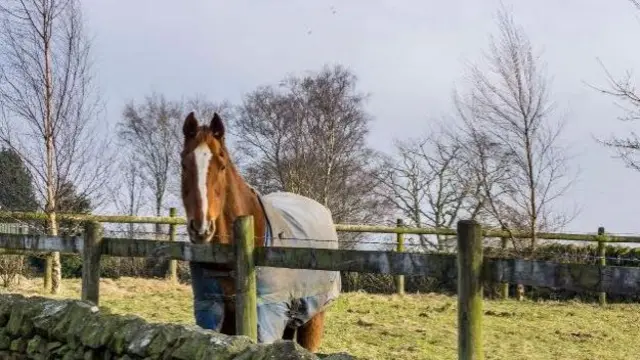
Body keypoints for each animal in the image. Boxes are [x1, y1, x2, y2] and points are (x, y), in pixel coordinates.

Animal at [180, 110, 340, 352]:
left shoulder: (266, 320)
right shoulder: (213, 314)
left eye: (222, 164)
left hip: (313, 316)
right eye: (183, 163)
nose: (201, 227)